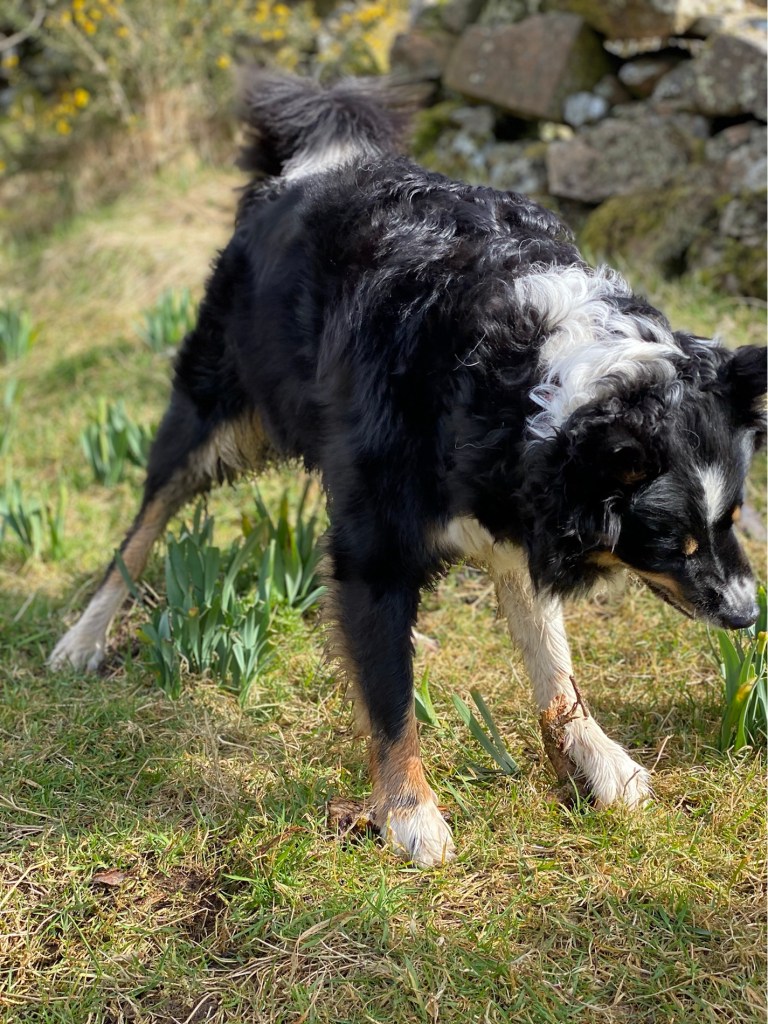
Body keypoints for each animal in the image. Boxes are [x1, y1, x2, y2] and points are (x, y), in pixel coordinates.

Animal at [50, 73, 766, 867]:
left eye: (733, 518)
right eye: (673, 542)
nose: (747, 615)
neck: (523, 372)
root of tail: (299, 173)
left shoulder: (513, 517)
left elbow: (553, 667)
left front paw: (601, 762)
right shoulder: (387, 529)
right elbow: (391, 697)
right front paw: (409, 813)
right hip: (214, 405)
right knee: (144, 525)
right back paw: (81, 639)